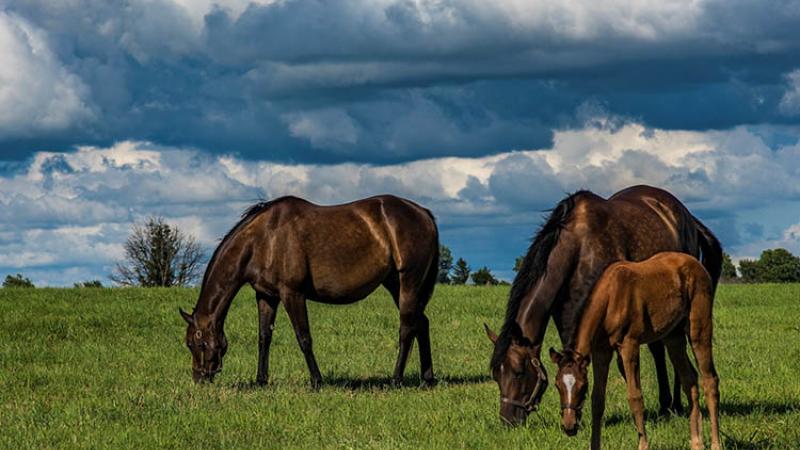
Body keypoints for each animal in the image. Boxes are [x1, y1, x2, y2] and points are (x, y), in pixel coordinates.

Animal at [179, 195, 440, 388]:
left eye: (198, 344)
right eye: (189, 344)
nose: (199, 378)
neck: (264, 239)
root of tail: (423, 212)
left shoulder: (292, 294)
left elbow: (303, 337)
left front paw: (317, 381)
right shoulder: (266, 296)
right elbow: (264, 338)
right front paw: (261, 380)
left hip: (408, 282)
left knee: (406, 329)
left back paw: (396, 380)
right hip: (395, 283)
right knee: (421, 323)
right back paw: (427, 379)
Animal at [484, 184, 720, 426]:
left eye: (519, 372)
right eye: (496, 374)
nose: (508, 420)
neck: (579, 245)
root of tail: (686, 215)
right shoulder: (567, 316)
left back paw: (676, 405)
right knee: (658, 350)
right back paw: (666, 405)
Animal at [552, 251, 720, 450]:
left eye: (582, 386)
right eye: (557, 385)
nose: (569, 426)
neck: (611, 297)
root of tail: (697, 264)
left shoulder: (629, 346)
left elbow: (635, 398)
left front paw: (643, 444)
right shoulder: (601, 352)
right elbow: (597, 401)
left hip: (699, 328)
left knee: (710, 380)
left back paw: (716, 443)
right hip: (674, 338)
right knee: (690, 381)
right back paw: (696, 442)